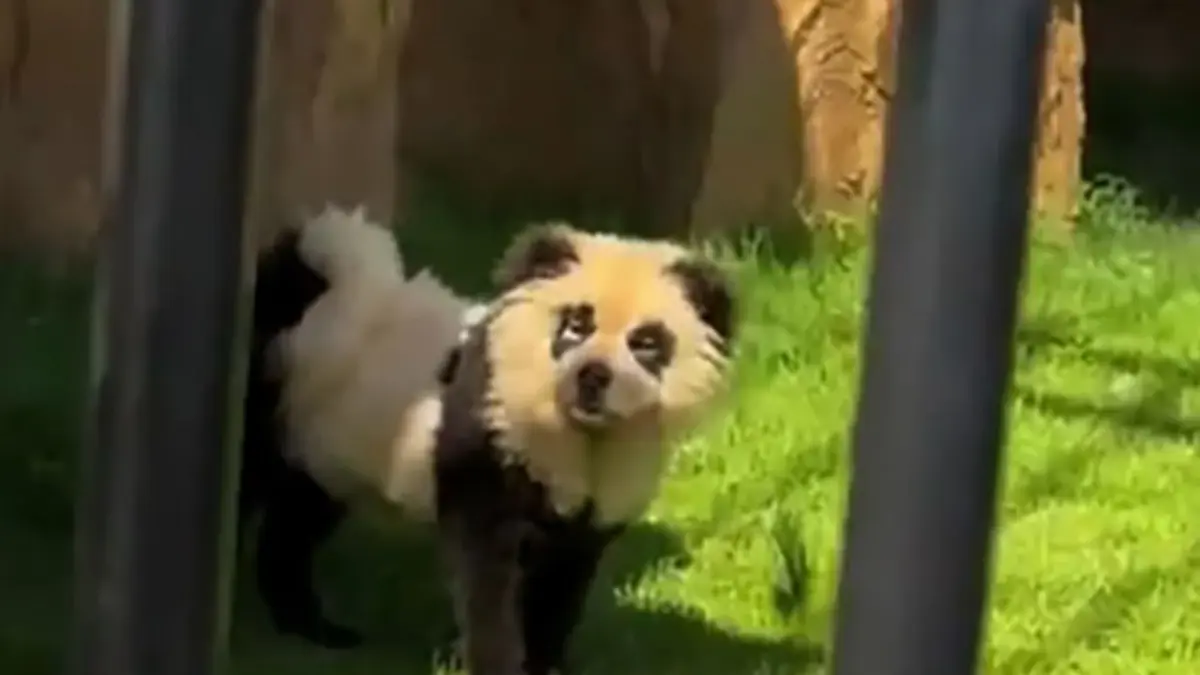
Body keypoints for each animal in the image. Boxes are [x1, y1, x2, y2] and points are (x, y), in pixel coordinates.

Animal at [432, 222, 738, 675]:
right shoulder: (489, 442)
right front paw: (495, 662)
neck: (582, 435)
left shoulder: (592, 511)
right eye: (577, 324)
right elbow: (487, 575)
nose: (592, 377)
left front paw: (545, 662)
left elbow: (563, 583)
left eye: (645, 342)